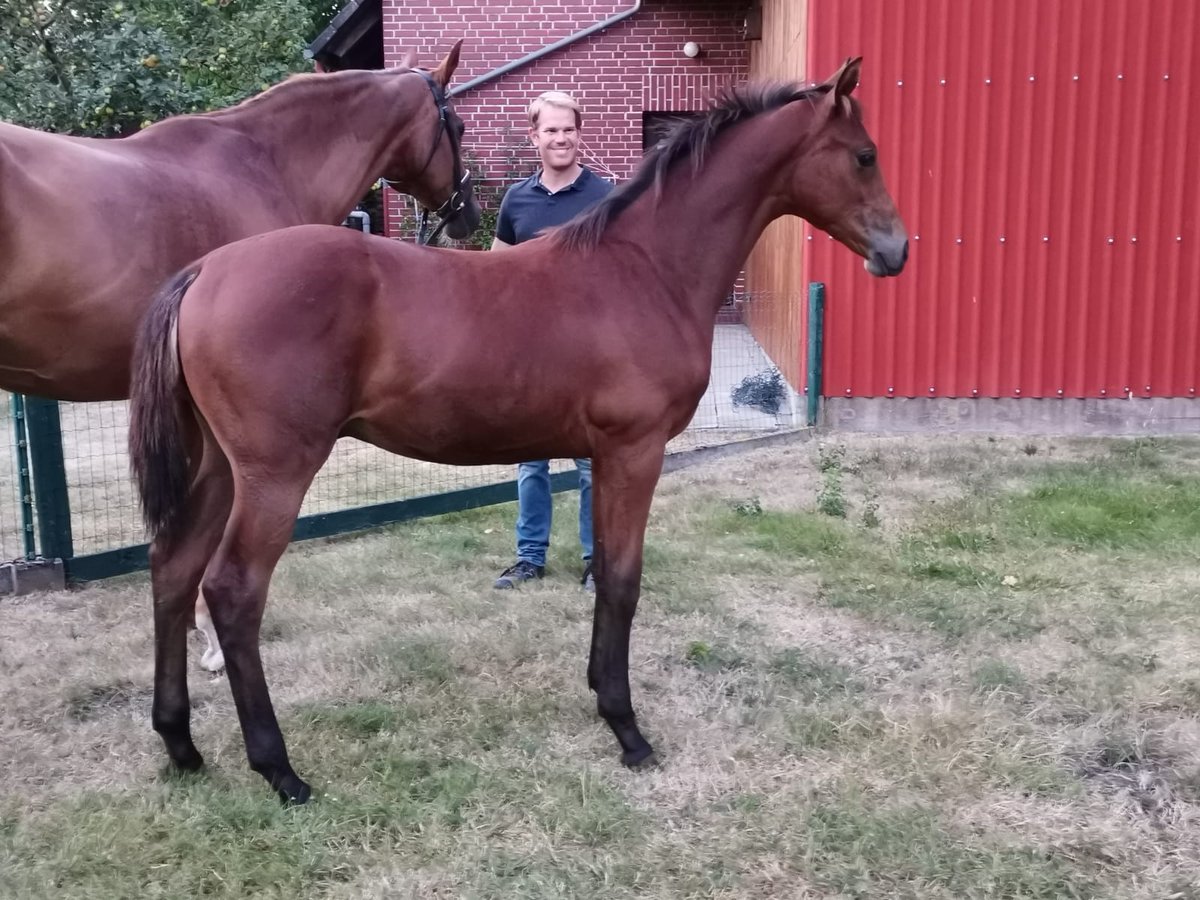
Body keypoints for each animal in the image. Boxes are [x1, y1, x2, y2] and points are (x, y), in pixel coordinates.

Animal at [126, 58, 902, 801]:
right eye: (864, 155)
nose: (896, 251)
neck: (644, 269)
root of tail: (204, 271)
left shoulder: (608, 457)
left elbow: (608, 574)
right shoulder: (635, 452)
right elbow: (624, 580)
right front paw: (627, 729)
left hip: (221, 468)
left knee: (173, 566)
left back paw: (181, 745)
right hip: (275, 472)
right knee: (232, 590)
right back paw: (280, 771)